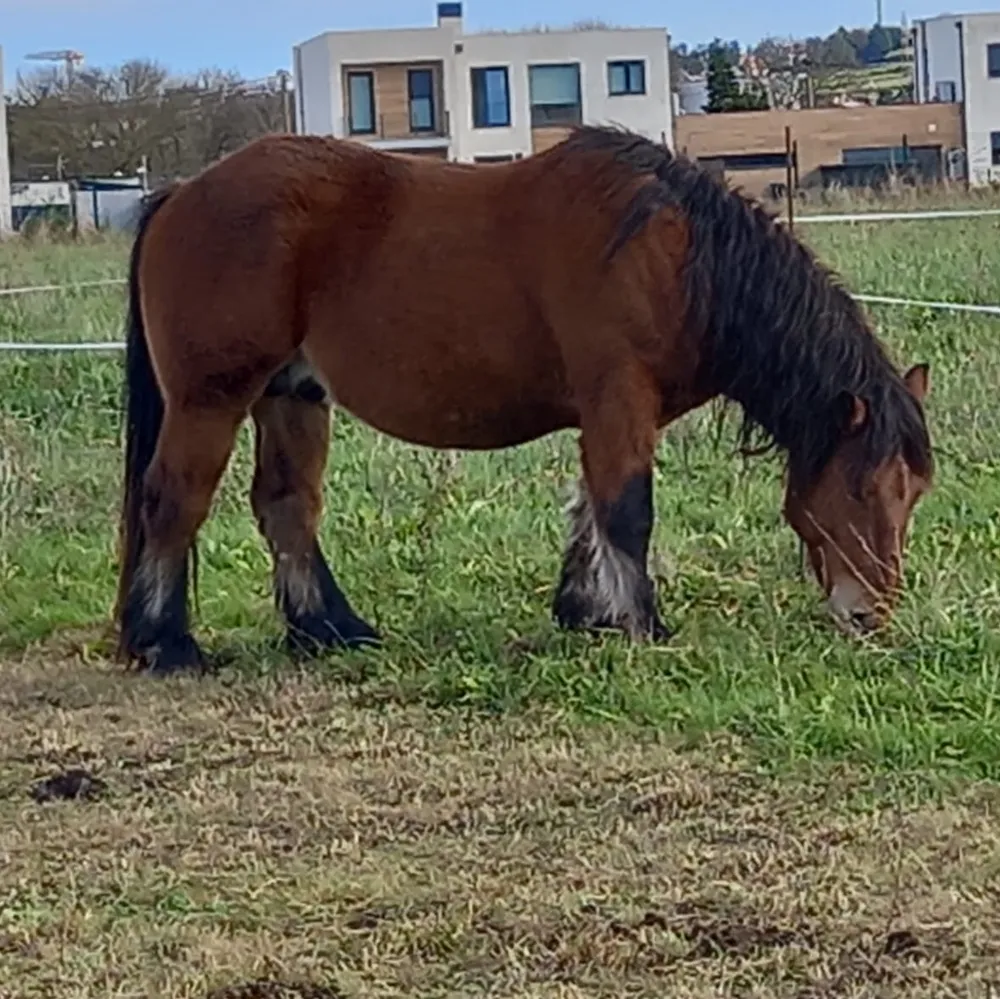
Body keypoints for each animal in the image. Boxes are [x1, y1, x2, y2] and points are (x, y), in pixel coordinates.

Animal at [113, 124, 933, 675]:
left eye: (913, 491)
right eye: (860, 488)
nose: (871, 615)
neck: (676, 258)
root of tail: (183, 193)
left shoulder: (612, 413)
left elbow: (590, 509)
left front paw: (584, 611)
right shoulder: (618, 397)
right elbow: (628, 510)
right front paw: (644, 625)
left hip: (292, 395)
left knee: (287, 506)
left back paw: (330, 629)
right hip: (212, 399)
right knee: (174, 501)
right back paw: (168, 643)